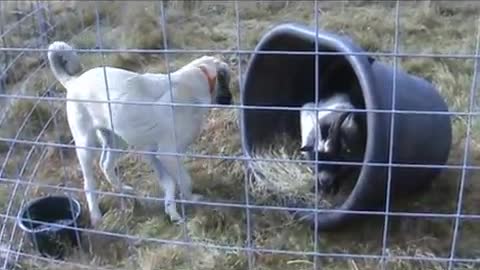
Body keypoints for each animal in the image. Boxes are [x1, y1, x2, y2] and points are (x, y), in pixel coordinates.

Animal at [47, 40, 232, 226]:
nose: (231, 100)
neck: (196, 78)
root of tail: (74, 81)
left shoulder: (154, 154)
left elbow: (170, 183)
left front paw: (171, 211)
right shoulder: (168, 154)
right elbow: (184, 180)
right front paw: (191, 199)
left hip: (116, 139)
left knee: (105, 164)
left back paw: (124, 190)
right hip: (86, 145)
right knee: (89, 183)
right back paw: (96, 215)